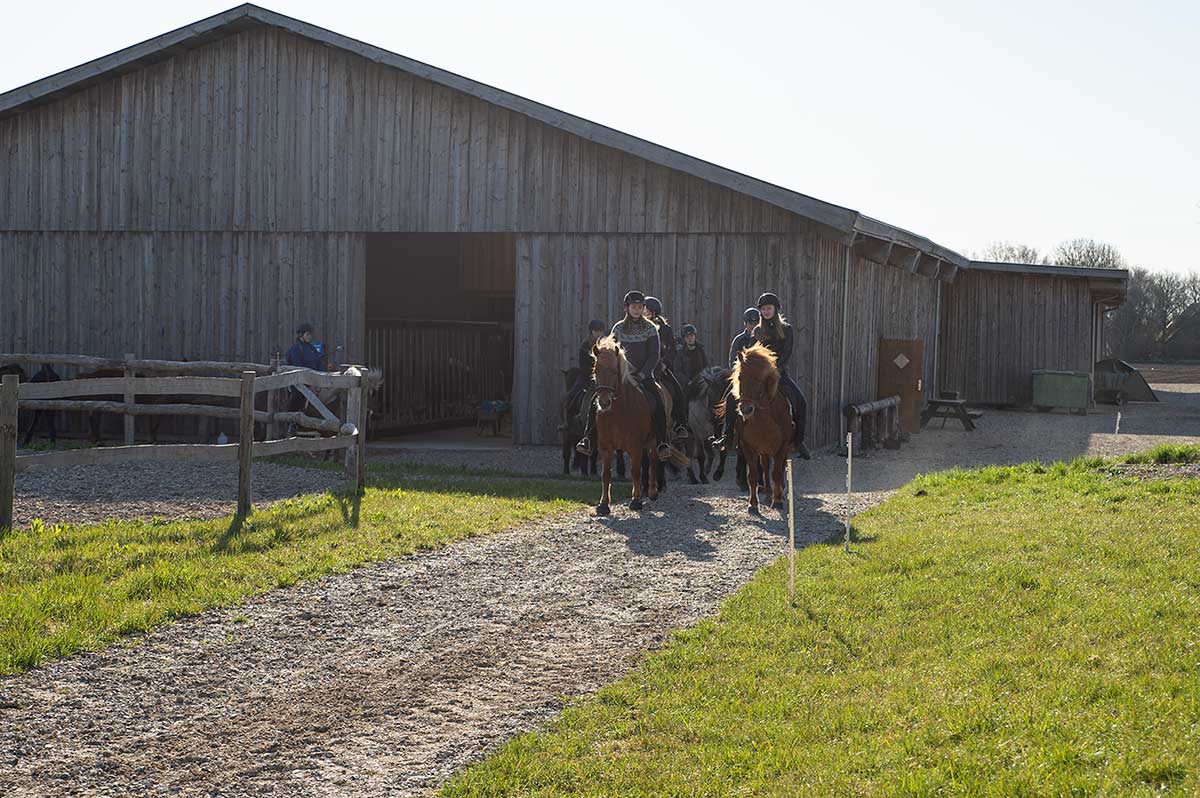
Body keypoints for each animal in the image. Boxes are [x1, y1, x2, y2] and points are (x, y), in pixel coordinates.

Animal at [588, 333, 676, 513]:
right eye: (596, 370)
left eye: (615, 371)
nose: (604, 402)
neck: (618, 411)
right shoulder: (605, 445)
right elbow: (606, 474)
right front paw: (603, 504)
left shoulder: (635, 445)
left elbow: (635, 471)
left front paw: (636, 501)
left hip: (655, 439)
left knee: (654, 461)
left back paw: (652, 492)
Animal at [715, 343, 792, 516]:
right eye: (740, 377)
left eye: (759, 379)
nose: (746, 409)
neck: (763, 418)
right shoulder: (748, 447)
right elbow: (753, 475)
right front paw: (753, 505)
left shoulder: (782, 446)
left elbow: (777, 473)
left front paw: (777, 501)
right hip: (763, 451)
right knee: (765, 466)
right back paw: (768, 495)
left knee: (778, 468)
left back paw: (780, 494)